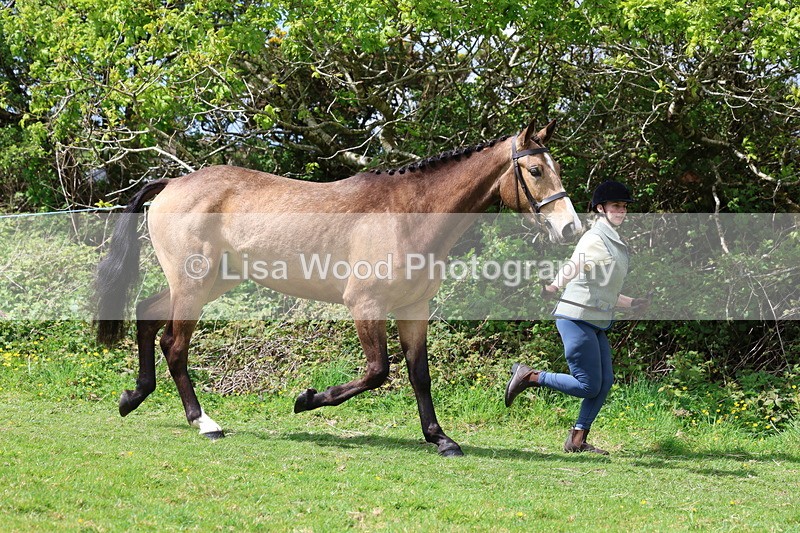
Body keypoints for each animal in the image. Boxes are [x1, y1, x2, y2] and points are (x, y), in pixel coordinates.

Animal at [94, 118, 581, 456]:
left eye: (555, 167)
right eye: (535, 170)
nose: (570, 228)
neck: (409, 214)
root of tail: (173, 182)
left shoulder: (414, 308)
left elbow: (419, 374)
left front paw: (440, 438)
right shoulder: (365, 305)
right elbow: (378, 371)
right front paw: (306, 399)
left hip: (209, 282)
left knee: (147, 315)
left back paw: (132, 397)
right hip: (194, 284)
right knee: (175, 345)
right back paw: (204, 422)